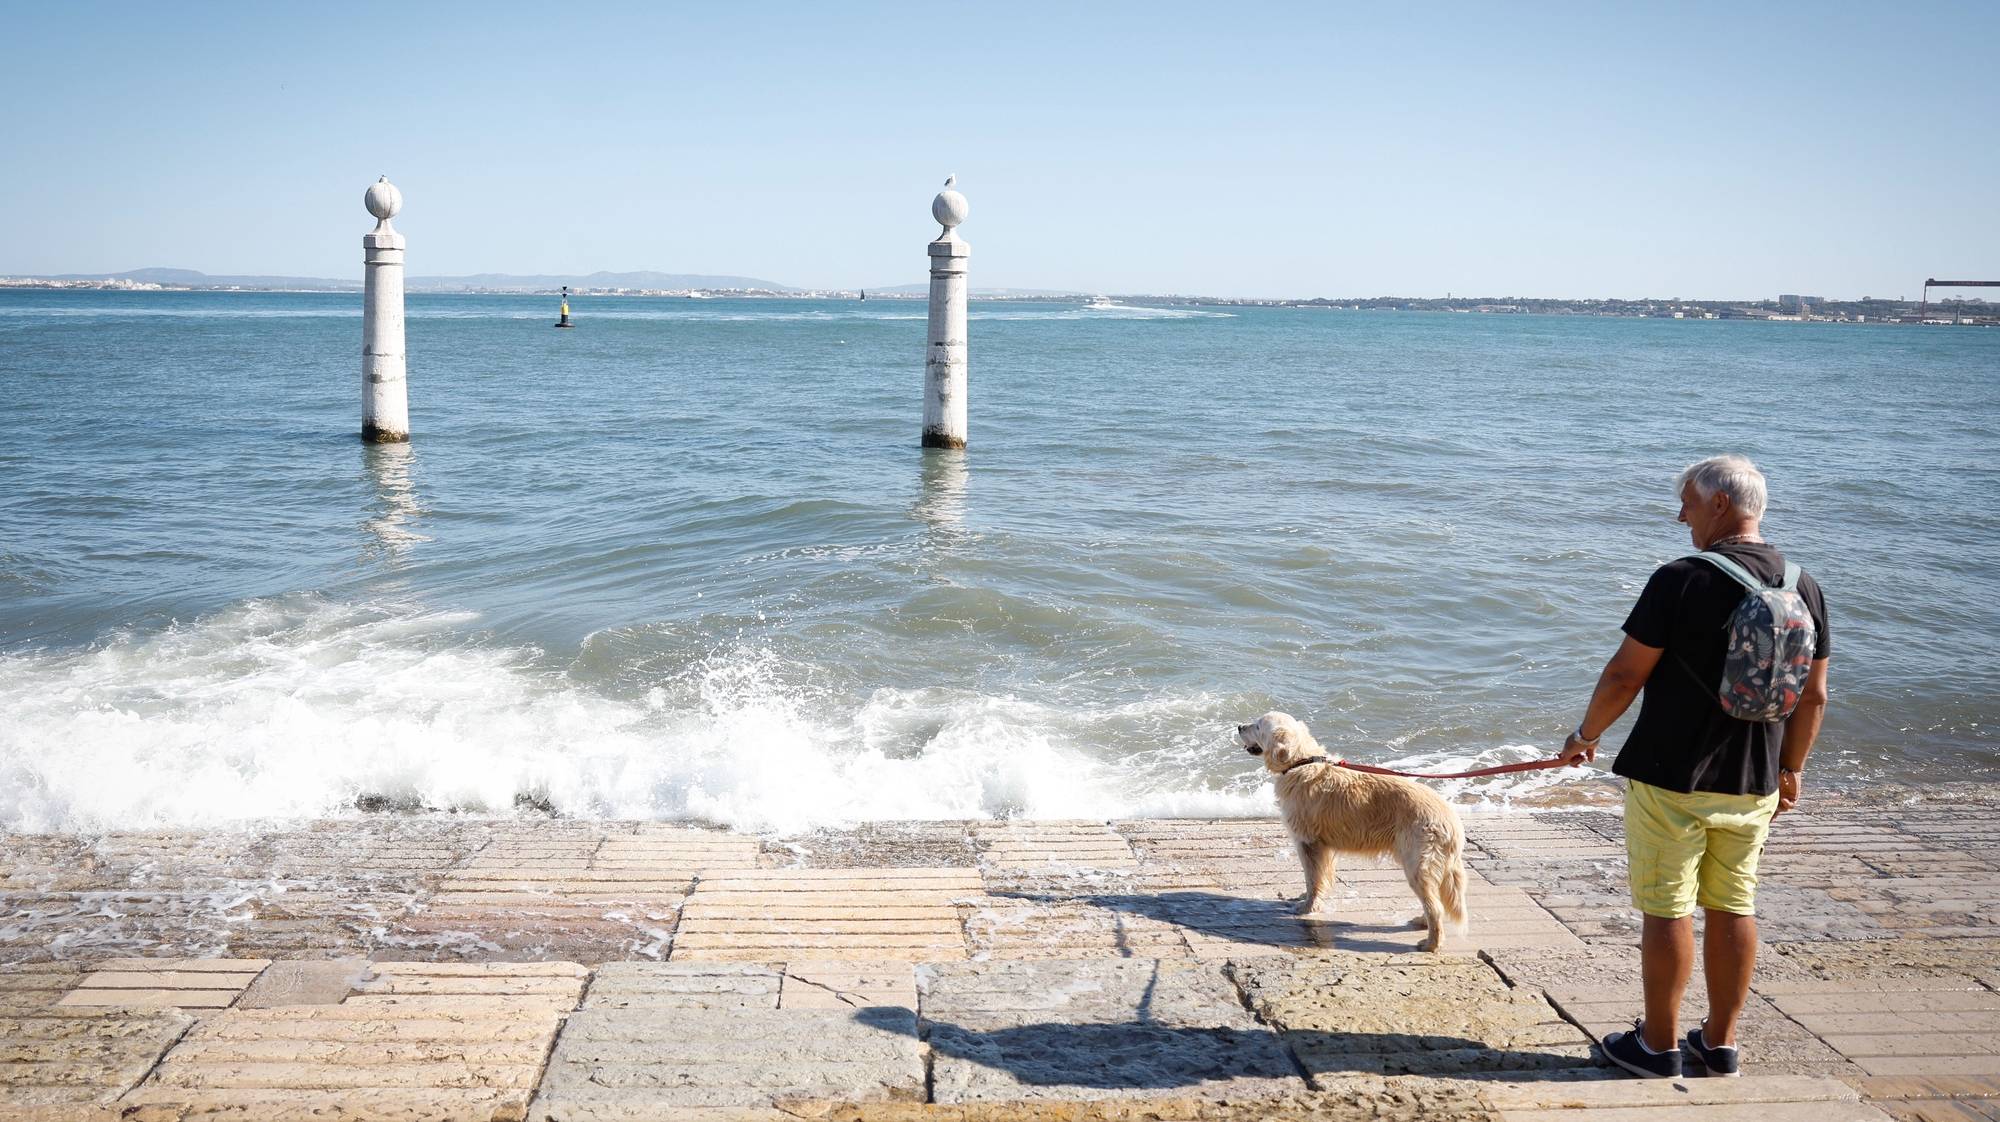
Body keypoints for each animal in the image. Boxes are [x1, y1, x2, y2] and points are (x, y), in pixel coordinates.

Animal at [1232, 712, 1472, 948]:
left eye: (1258, 726)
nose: (1239, 726)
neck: (1300, 762)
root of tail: (1453, 822)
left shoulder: (1308, 842)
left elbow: (1312, 879)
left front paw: (1307, 908)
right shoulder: (1321, 847)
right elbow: (1317, 878)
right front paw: (1304, 898)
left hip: (1417, 865)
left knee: (1436, 908)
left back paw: (1431, 943)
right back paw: (1421, 922)